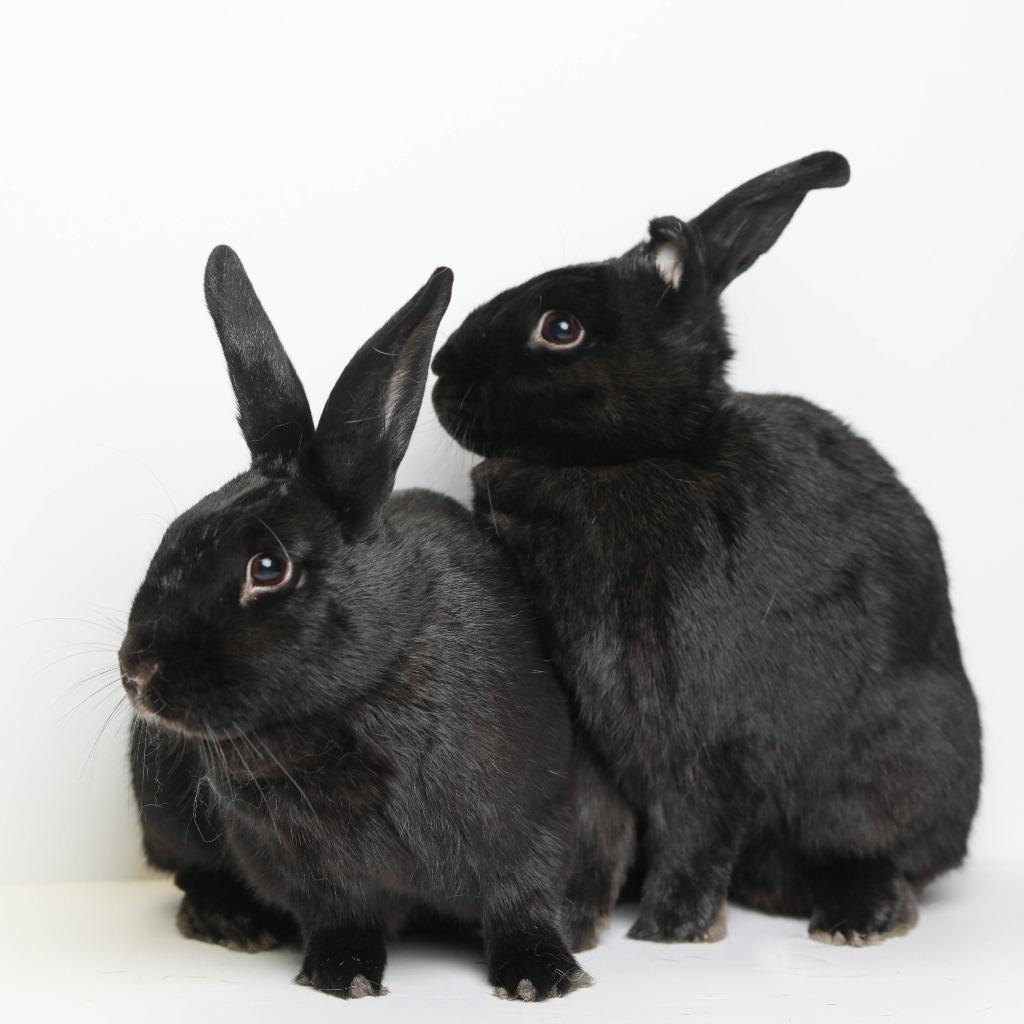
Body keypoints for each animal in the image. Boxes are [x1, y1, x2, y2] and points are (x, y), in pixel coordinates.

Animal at [119, 245, 635, 1000]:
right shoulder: (309, 870)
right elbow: (341, 916)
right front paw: (345, 977)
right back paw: (232, 922)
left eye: (267, 567)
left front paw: (544, 978)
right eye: (173, 535)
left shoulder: (535, 821)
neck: (357, 700)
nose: (137, 671)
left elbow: (521, 902)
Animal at [430, 151, 982, 948]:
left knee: (871, 853)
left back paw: (858, 918)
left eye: (560, 327)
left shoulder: (708, 730)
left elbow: (695, 827)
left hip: (890, 768)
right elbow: (598, 827)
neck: (629, 460)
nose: (441, 370)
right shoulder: (589, 735)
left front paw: (670, 932)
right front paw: (574, 923)